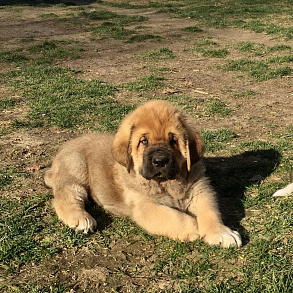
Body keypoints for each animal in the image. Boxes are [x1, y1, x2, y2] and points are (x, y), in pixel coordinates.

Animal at [44, 100, 241, 246]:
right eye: (143, 141)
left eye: (173, 140)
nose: (160, 161)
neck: (168, 184)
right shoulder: (146, 206)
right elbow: (175, 217)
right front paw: (194, 228)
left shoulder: (201, 191)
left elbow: (210, 212)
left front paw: (222, 233)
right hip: (76, 169)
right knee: (64, 197)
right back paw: (81, 218)